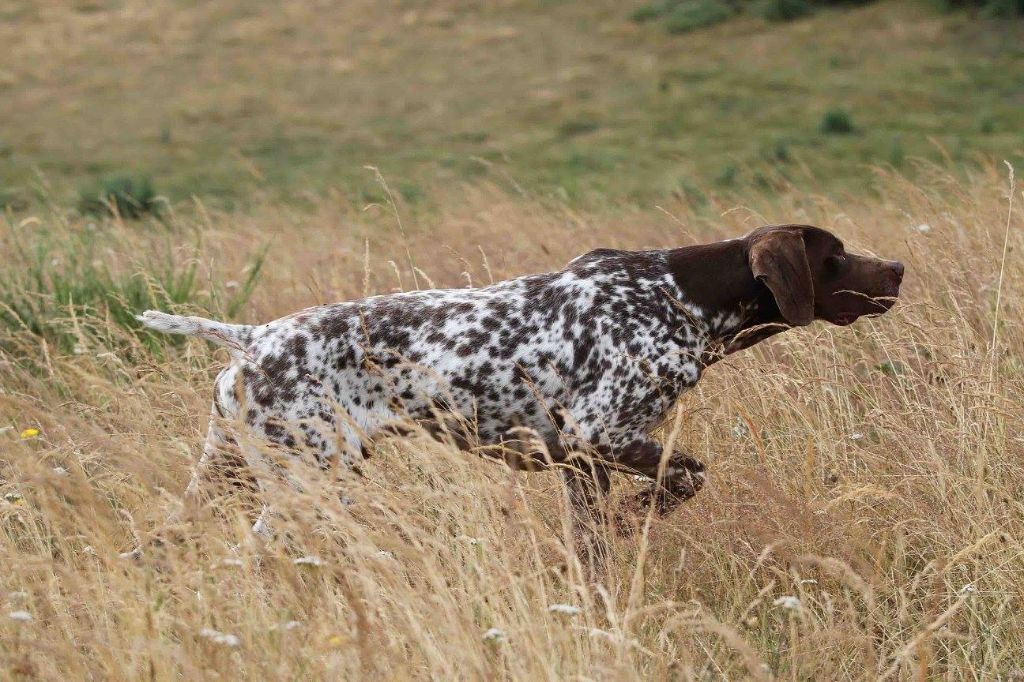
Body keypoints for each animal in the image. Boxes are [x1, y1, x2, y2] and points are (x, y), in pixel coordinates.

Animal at [138, 223, 905, 532]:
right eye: (836, 255)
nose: (897, 268)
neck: (678, 295)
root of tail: (252, 338)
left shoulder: (581, 465)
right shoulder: (599, 436)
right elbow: (687, 476)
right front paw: (638, 517)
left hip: (234, 472)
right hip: (306, 480)